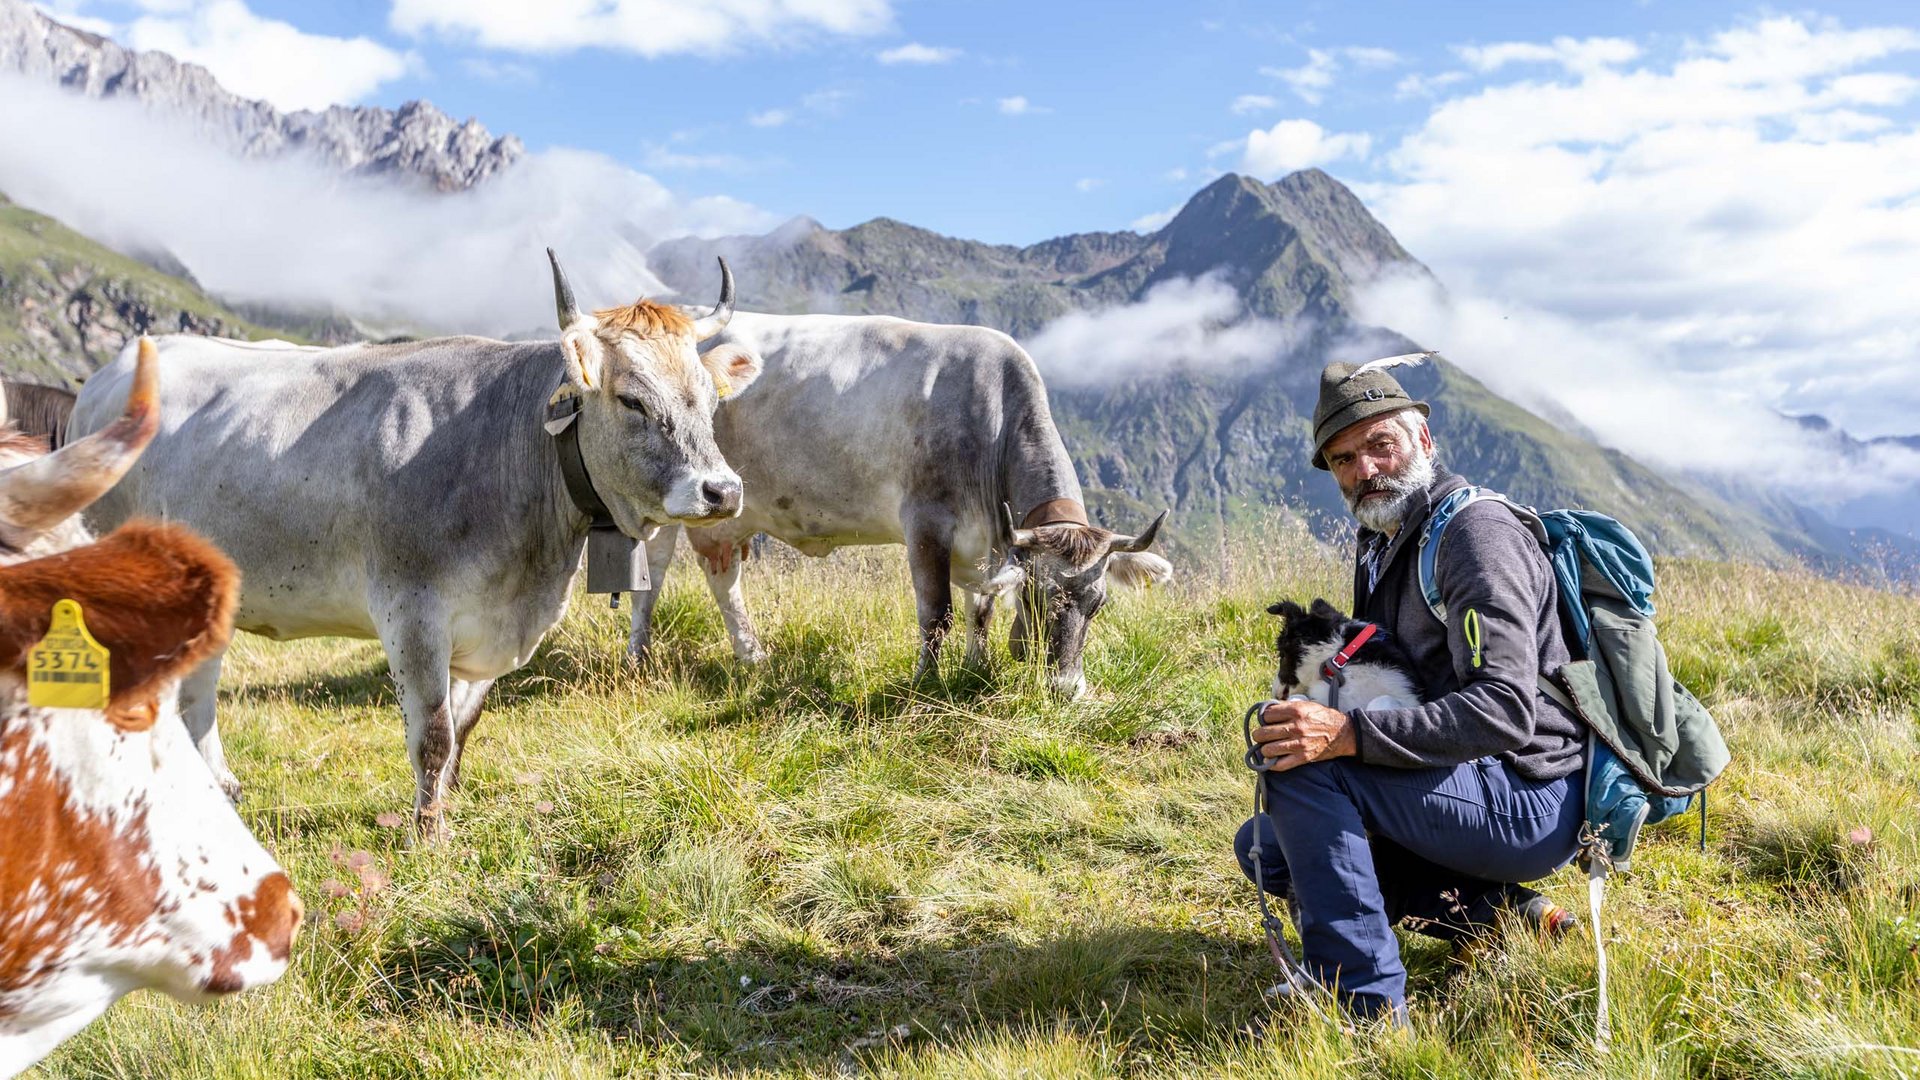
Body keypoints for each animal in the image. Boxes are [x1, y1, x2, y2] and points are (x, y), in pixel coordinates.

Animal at [74, 253, 764, 834]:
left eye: (708, 397)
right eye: (631, 401)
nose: (722, 490)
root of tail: (109, 375)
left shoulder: (486, 628)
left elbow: (462, 729)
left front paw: (443, 812)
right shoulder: (412, 610)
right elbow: (432, 735)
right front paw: (427, 838)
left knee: (197, 689)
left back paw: (219, 790)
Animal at [629, 311, 1167, 699]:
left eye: (1099, 604)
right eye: (1037, 598)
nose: (1067, 689)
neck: (992, 425)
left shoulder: (988, 544)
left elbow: (981, 611)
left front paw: (977, 668)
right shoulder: (927, 524)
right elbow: (936, 614)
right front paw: (927, 682)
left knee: (723, 577)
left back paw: (752, 659)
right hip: (668, 500)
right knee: (655, 573)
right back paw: (646, 657)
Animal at [1259, 591, 1428, 711]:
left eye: (1281, 655)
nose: (1274, 695)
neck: (1341, 656)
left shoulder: (1408, 699)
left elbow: (1382, 700)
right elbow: (1300, 699)